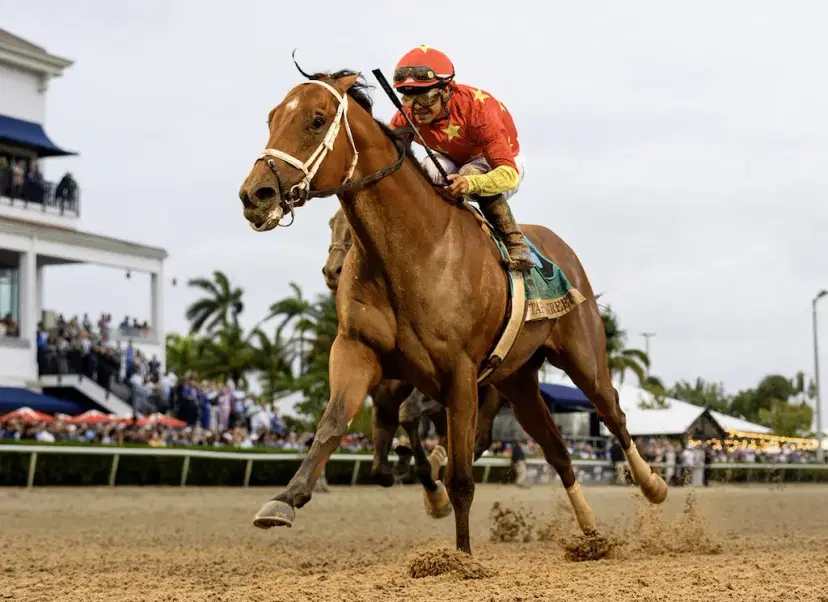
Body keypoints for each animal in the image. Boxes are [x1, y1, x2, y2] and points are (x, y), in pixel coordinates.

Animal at [238, 69, 667, 555]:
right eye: (272, 117)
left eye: (316, 119)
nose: (255, 194)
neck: (412, 250)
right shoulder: (359, 350)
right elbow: (332, 423)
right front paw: (284, 500)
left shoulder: (459, 373)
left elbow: (461, 476)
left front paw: (461, 557)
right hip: (518, 382)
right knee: (557, 450)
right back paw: (591, 532)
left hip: (584, 356)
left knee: (613, 414)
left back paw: (653, 485)